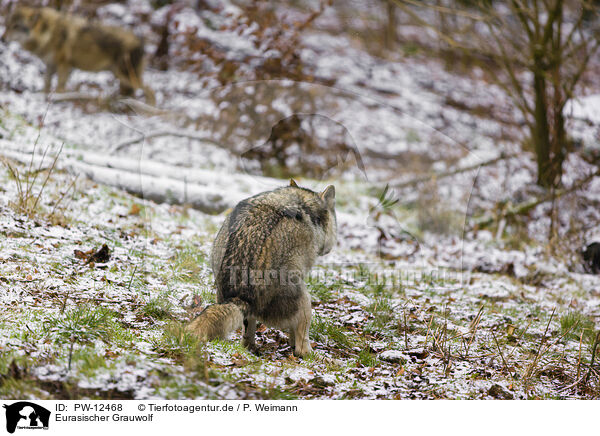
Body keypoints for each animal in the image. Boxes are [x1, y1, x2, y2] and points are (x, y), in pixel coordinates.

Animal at [0, 6, 155, 104]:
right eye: (7, 25)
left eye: (15, 26)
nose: (2, 38)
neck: (48, 33)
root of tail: (140, 42)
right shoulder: (50, 64)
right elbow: (46, 82)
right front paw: (43, 96)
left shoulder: (64, 64)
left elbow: (60, 86)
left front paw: (57, 99)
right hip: (121, 77)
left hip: (126, 76)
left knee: (150, 90)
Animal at [188, 179, 338, 356]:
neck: (304, 205)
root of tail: (240, 296)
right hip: (306, 300)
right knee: (302, 345)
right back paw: (313, 355)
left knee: (246, 339)